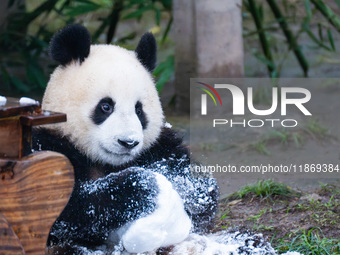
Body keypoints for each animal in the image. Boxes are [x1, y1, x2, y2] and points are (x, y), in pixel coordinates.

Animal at [33, 23, 219, 253]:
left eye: (139, 110)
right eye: (106, 106)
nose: (128, 142)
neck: (106, 163)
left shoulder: (158, 145)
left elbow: (200, 186)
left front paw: (182, 189)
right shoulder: (51, 143)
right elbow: (61, 207)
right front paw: (141, 187)